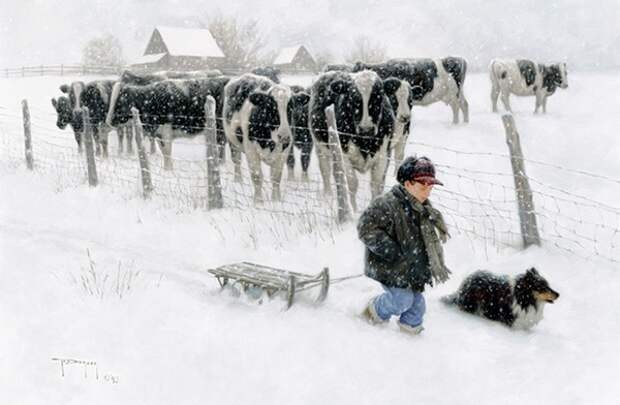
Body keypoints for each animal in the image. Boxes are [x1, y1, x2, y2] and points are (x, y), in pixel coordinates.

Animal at [223, 73, 310, 202]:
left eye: (291, 106)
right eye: (271, 106)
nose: (283, 135)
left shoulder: (284, 150)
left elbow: (276, 177)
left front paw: (276, 200)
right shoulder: (251, 150)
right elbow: (257, 176)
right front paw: (258, 201)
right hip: (232, 141)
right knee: (237, 161)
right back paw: (238, 182)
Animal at [308, 70, 398, 210]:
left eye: (379, 98)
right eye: (353, 98)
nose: (366, 129)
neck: (365, 142)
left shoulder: (384, 154)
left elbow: (376, 185)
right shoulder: (343, 153)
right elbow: (352, 183)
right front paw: (354, 210)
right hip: (320, 146)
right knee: (326, 171)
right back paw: (328, 195)